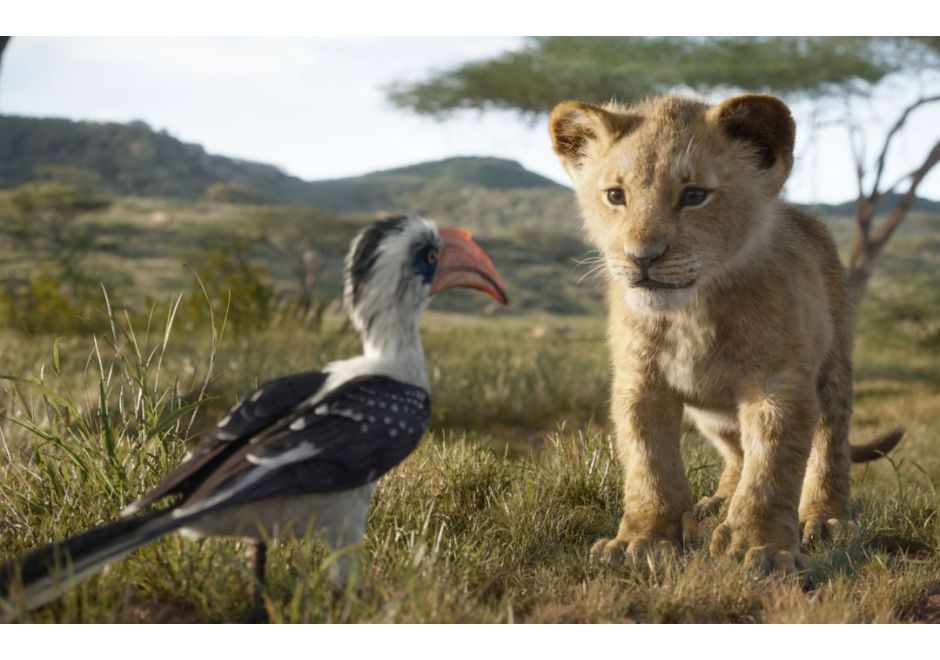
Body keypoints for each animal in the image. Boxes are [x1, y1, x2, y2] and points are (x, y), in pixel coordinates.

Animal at [548, 93, 903, 574]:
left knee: (830, 444)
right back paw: (715, 504)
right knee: (737, 453)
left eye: (694, 195)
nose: (642, 257)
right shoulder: (640, 384)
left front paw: (762, 548)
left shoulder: (778, 385)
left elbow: (772, 469)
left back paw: (825, 519)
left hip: (834, 369)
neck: (691, 313)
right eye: (616, 196)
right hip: (712, 415)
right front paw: (642, 541)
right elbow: (649, 464)